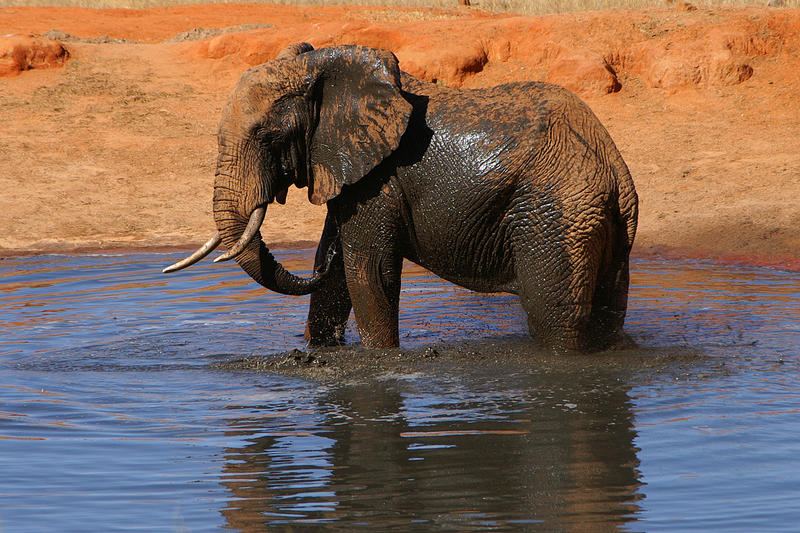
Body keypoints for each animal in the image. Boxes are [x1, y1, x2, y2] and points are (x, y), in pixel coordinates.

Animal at [162, 42, 636, 354]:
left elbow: (368, 270)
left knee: (553, 320)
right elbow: (338, 268)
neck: (327, 67)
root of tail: (614, 167)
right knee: (606, 313)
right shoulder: (351, 176)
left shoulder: (377, 180)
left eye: (267, 135)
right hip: (598, 224)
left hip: (555, 216)